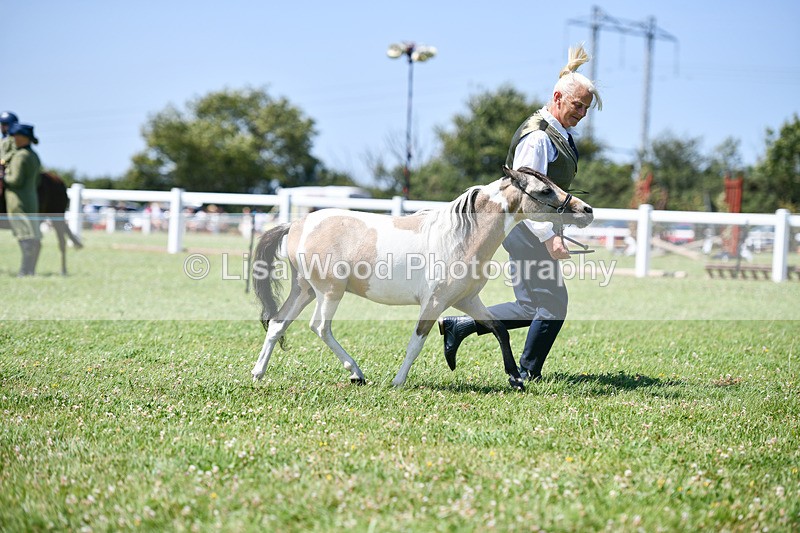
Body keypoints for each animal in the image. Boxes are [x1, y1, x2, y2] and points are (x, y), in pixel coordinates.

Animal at [250, 165, 593, 391]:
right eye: (545, 190)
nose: (586, 210)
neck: (461, 236)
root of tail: (297, 224)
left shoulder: (467, 300)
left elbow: (498, 329)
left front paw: (515, 379)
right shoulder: (434, 302)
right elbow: (417, 342)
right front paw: (398, 382)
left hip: (304, 290)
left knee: (278, 324)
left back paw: (257, 373)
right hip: (329, 292)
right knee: (320, 327)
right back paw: (356, 373)